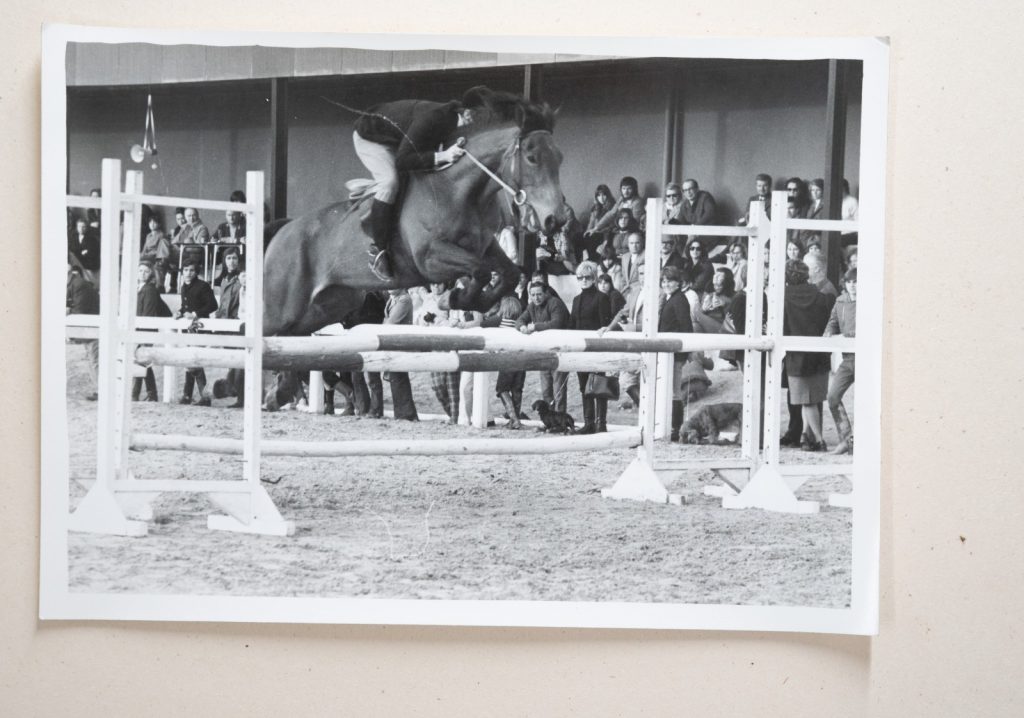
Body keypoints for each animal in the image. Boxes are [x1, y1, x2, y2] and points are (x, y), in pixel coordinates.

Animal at [261, 92, 568, 409]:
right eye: (532, 158)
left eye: (559, 158)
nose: (555, 219)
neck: (460, 190)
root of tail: (285, 229)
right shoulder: (429, 259)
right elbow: (480, 270)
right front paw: (454, 298)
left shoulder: (486, 247)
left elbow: (507, 273)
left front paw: (464, 300)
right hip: (282, 307)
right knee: (267, 333)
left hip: (332, 304)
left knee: (291, 337)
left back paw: (281, 391)